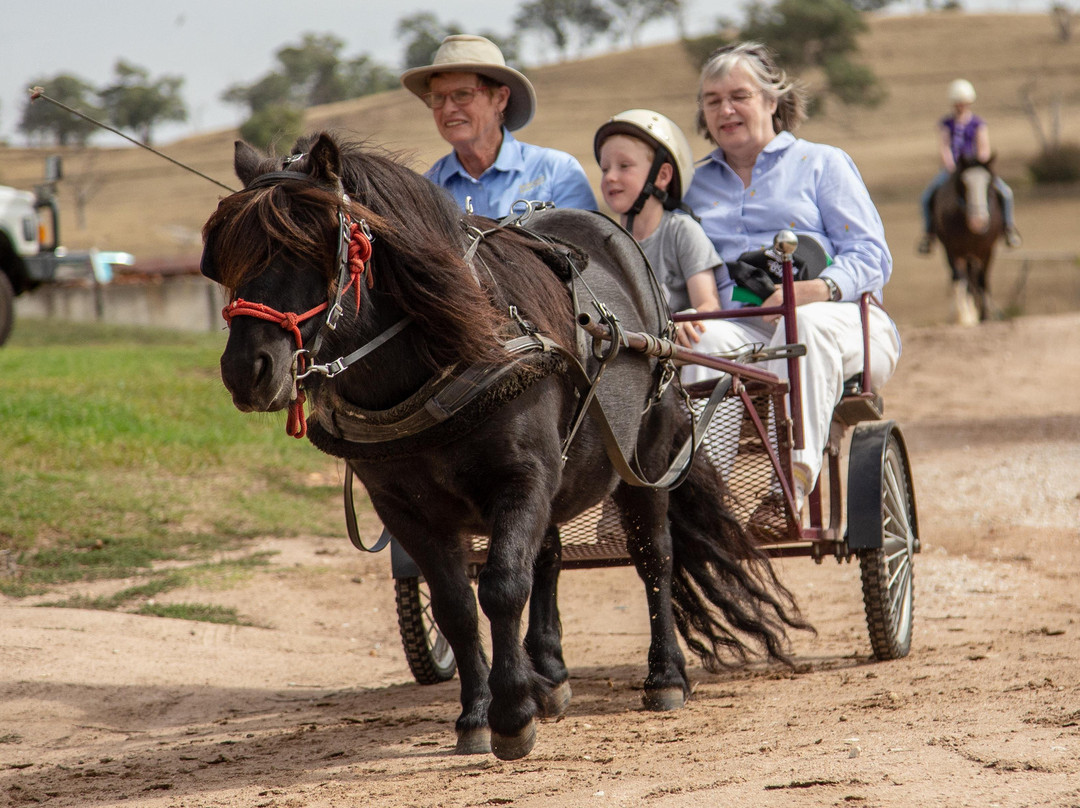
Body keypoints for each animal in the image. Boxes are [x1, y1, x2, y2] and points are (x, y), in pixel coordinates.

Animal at [203, 131, 812, 756]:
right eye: (225, 255)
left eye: (311, 246)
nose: (245, 370)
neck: (440, 357)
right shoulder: (407, 508)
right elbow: (457, 606)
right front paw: (478, 713)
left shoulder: (523, 476)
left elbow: (500, 588)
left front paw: (514, 711)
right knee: (549, 558)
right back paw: (551, 672)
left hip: (647, 454)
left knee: (653, 556)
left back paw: (663, 674)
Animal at [928, 154, 1002, 324]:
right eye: (964, 182)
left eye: (989, 182)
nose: (979, 221)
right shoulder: (953, 251)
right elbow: (960, 279)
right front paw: (965, 315)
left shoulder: (987, 250)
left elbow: (982, 280)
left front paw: (985, 316)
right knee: (961, 278)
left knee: (974, 279)